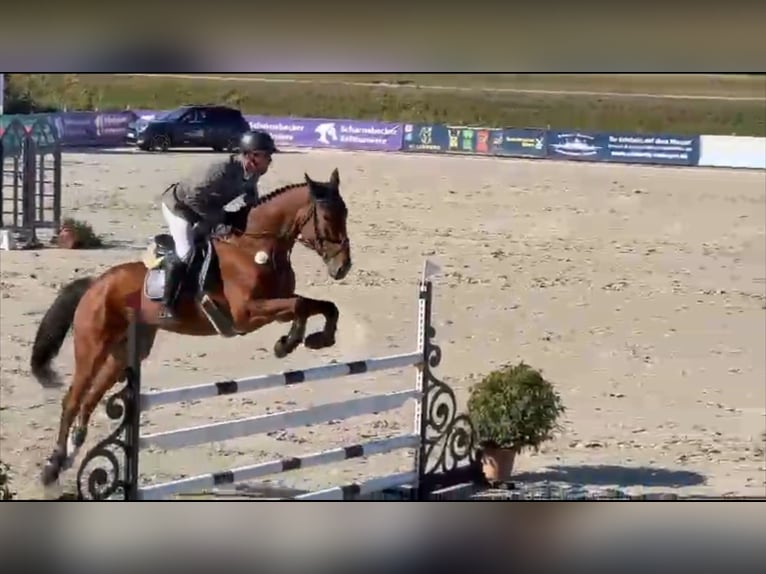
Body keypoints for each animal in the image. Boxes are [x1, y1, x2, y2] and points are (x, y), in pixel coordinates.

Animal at [30, 167, 352, 487]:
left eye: (345, 213)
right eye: (326, 217)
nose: (342, 267)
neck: (254, 248)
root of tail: (95, 284)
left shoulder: (276, 307)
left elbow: (320, 306)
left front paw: (316, 339)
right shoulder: (246, 314)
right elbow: (300, 305)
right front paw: (288, 343)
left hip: (123, 352)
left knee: (90, 399)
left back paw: (70, 453)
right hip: (92, 347)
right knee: (73, 399)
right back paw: (51, 467)